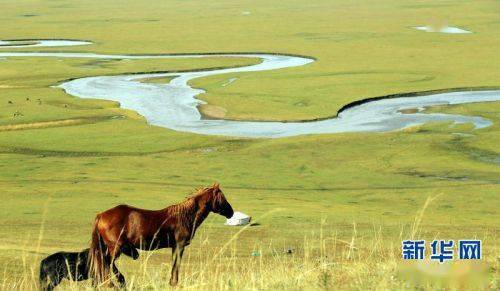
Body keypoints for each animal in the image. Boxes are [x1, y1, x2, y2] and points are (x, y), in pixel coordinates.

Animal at [88, 184, 234, 288]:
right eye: (222, 198)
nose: (231, 212)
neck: (185, 216)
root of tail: (101, 215)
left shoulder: (175, 247)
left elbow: (174, 263)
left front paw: (172, 283)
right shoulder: (179, 245)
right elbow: (176, 264)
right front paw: (175, 283)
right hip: (115, 247)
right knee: (107, 262)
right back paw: (113, 283)